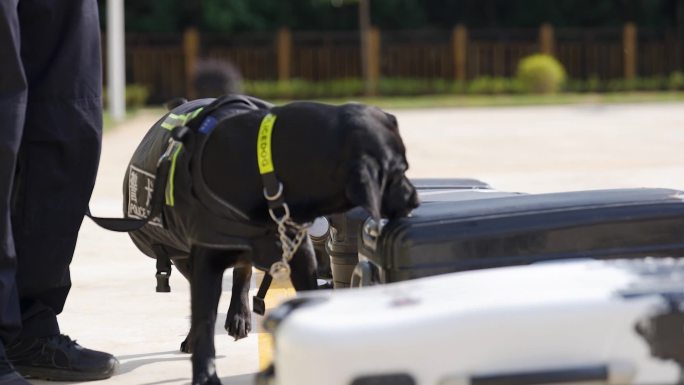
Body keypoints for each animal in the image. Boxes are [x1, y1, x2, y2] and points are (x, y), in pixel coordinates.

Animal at [121, 94, 416, 382]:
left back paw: (239, 316)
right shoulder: (206, 258)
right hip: (184, 255)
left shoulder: (302, 256)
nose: (414, 199)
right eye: (398, 170)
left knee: (242, 271)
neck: (267, 169)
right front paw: (205, 373)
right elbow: (204, 318)